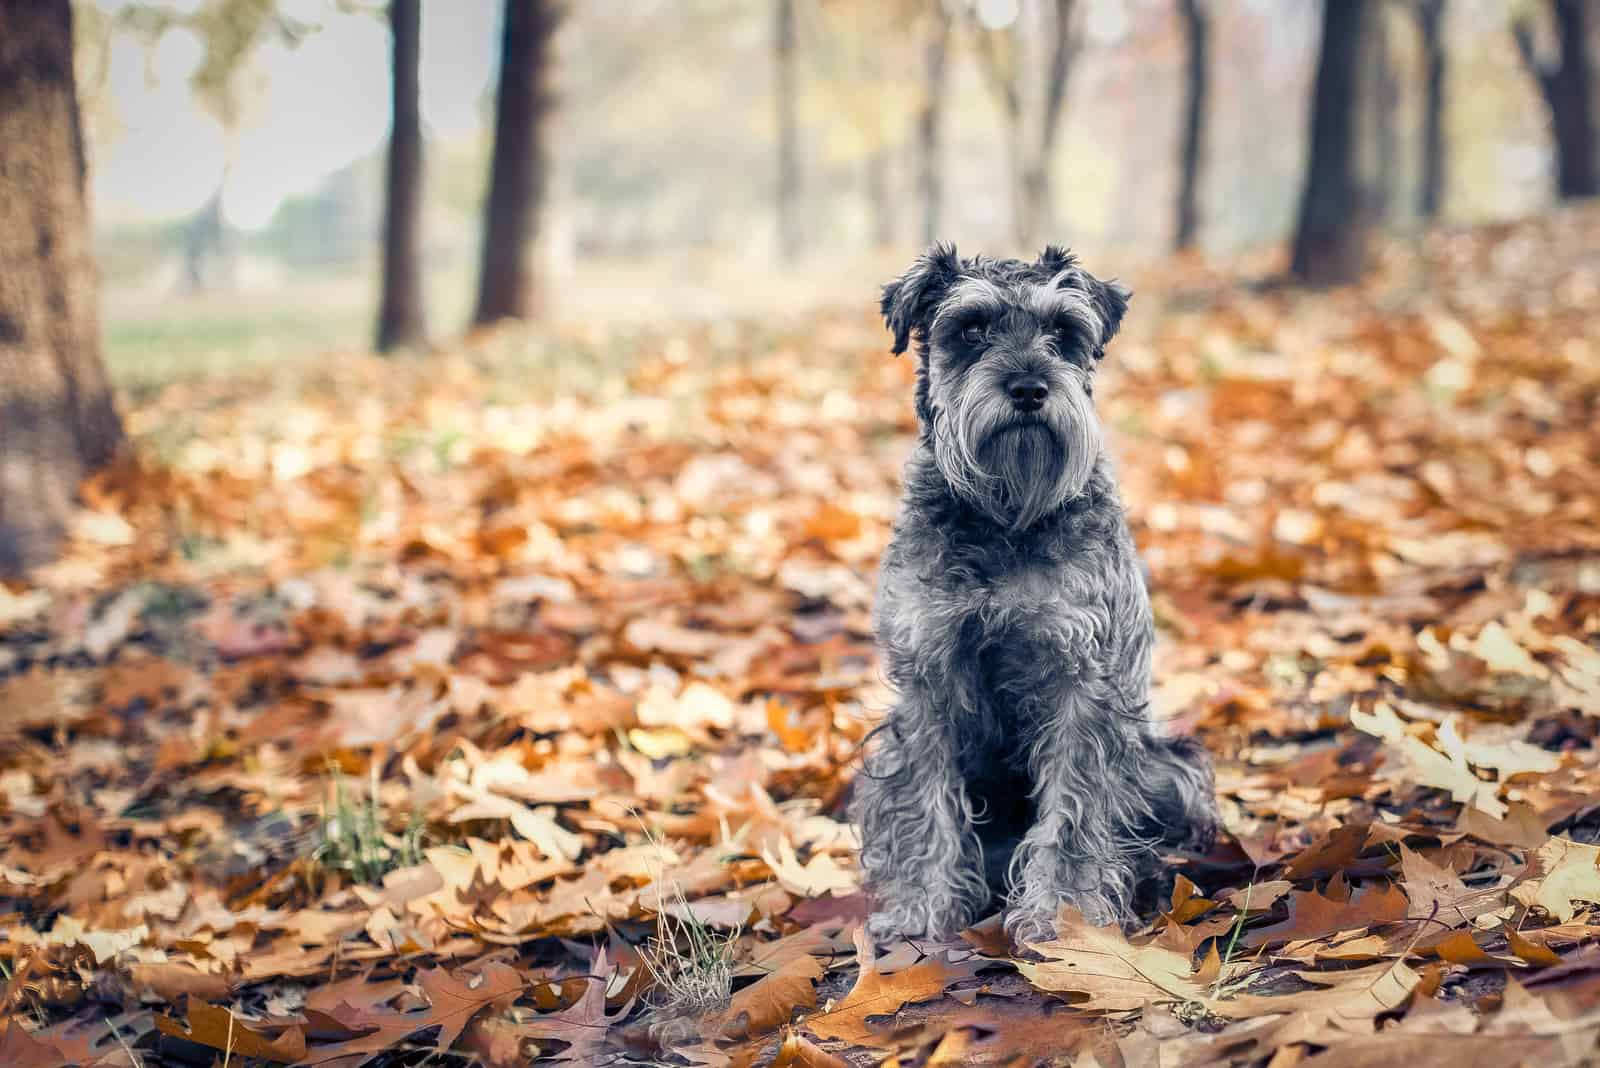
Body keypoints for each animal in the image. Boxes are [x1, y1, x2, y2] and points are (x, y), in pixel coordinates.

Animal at [857, 244, 1216, 940]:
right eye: (970, 329)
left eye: (1063, 331)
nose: (1028, 387)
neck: (1003, 516)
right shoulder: (927, 681)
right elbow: (925, 802)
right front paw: (923, 908)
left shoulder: (1080, 681)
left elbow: (1074, 814)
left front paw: (1063, 919)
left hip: (1169, 767)